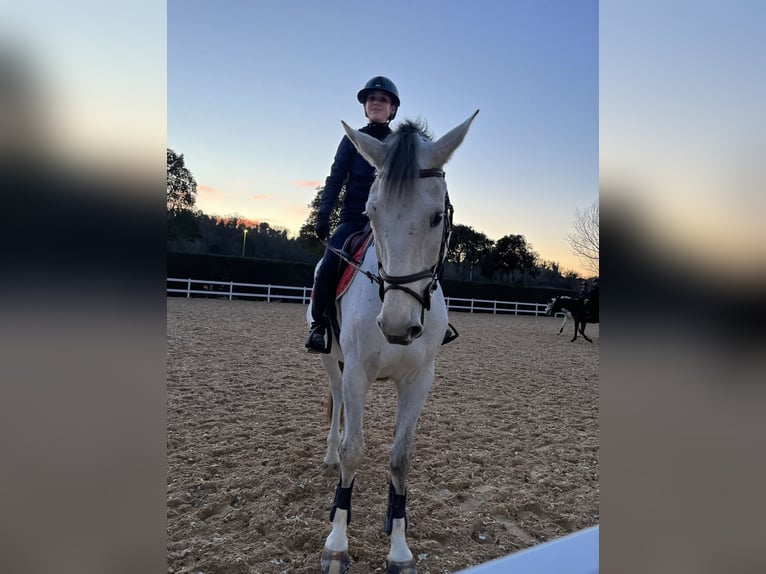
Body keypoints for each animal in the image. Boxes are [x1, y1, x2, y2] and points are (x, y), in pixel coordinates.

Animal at [307, 110, 479, 574]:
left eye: (437, 216)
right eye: (371, 213)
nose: (398, 327)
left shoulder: (419, 379)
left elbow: (400, 459)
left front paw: (399, 549)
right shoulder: (357, 370)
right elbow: (353, 451)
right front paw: (336, 544)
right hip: (332, 362)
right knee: (337, 403)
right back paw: (330, 458)